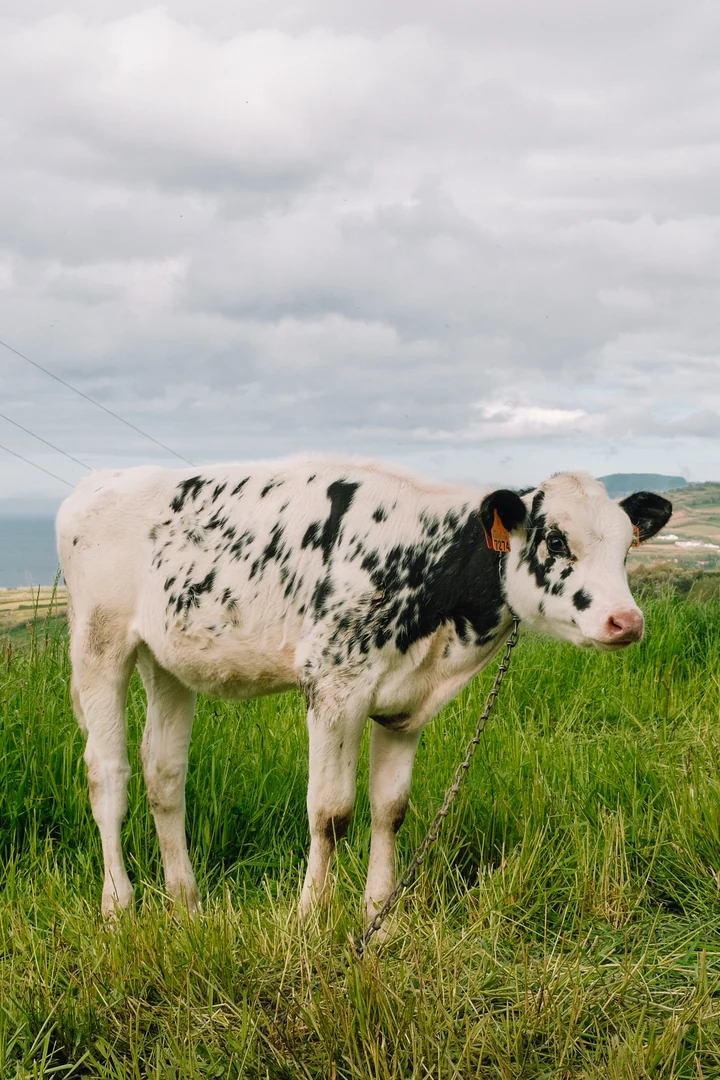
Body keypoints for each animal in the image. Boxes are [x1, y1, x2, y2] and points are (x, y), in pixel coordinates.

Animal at [56, 459, 672, 922]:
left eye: (626, 548)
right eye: (555, 539)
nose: (626, 621)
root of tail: (100, 482)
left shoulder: (404, 706)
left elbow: (390, 810)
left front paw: (380, 914)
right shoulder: (333, 686)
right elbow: (330, 812)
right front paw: (310, 917)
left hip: (168, 662)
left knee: (163, 775)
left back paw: (186, 904)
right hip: (99, 644)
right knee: (107, 774)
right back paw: (118, 906)